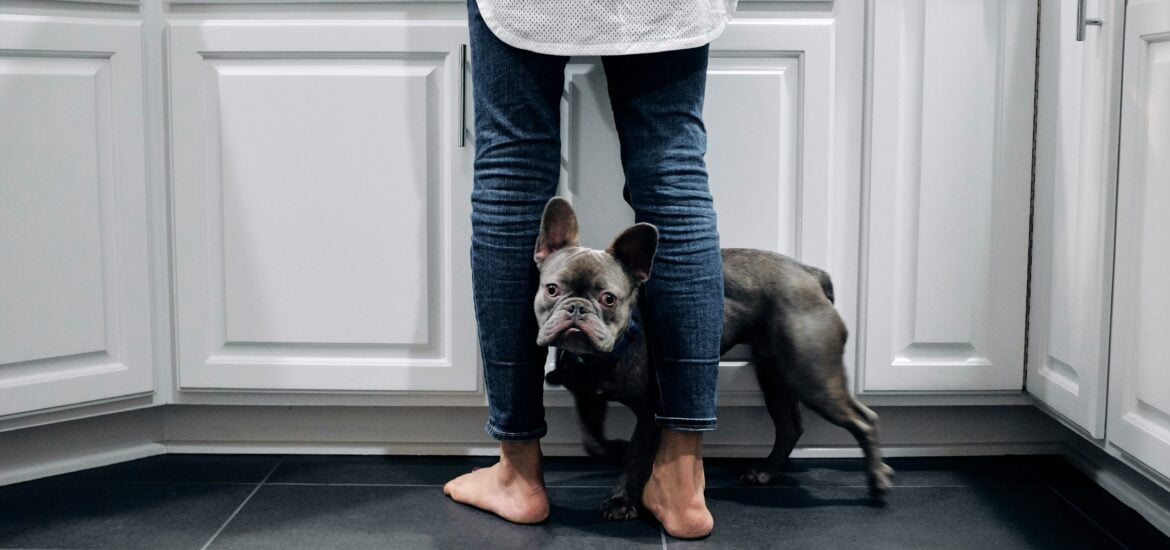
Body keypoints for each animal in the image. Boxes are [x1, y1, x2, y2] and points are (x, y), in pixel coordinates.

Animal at [533, 197, 893, 519]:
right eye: (551, 289)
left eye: (609, 299)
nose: (577, 309)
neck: (607, 353)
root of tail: (810, 274)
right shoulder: (587, 397)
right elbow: (594, 441)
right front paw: (616, 450)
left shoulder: (651, 411)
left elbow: (635, 458)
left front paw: (621, 500)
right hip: (775, 376)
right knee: (790, 427)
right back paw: (766, 472)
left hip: (812, 375)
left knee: (864, 419)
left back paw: (877, 482)